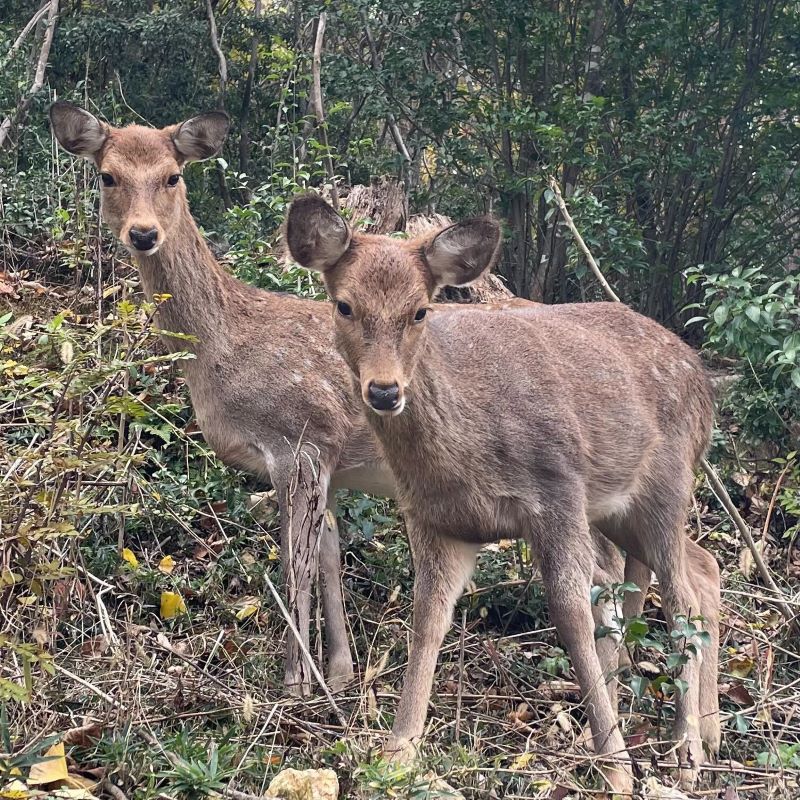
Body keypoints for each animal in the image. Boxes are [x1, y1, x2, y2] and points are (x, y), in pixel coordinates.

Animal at [48, 103, 636, 704]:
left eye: (172, 175)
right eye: (107, 176)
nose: (143, 233)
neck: (222, 346)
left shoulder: (299, 438)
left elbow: (296, 562)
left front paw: (294, 680)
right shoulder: (327, 460)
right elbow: (328, 554)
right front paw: (339, 671)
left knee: (608, 567)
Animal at [288, 195, 724, 792]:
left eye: (420, 310)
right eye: (344, 306)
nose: (384, 390)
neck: (466, 457)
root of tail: (705, 382)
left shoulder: (558, 493)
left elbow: (571, 614)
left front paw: (615, 768)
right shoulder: (436, 520)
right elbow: (428, 620)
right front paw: (398, 751)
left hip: (668, 481)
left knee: (680, 597)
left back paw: (685, 748)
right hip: (616, 508)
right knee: (699, 570)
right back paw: (704, 731)